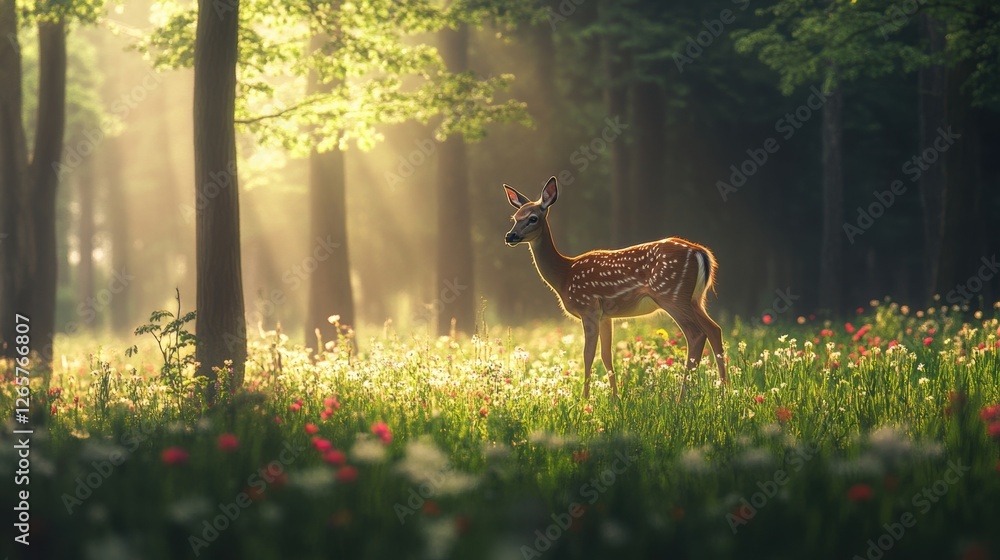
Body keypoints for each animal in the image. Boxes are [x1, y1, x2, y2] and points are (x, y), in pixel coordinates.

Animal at [503, 176, 726, 399]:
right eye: (515, 217)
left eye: (532, 218)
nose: (510, 236)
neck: (564, 275)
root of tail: (701, 252)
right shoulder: (605, 315)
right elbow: (606, 355)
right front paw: (615, 399)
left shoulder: (588, 308)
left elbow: (588, 354)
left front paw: (584, 399)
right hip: (695, 299)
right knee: (714, 329)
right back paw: (725, 390)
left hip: (671, 294)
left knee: (696, 334)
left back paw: (683, 398)